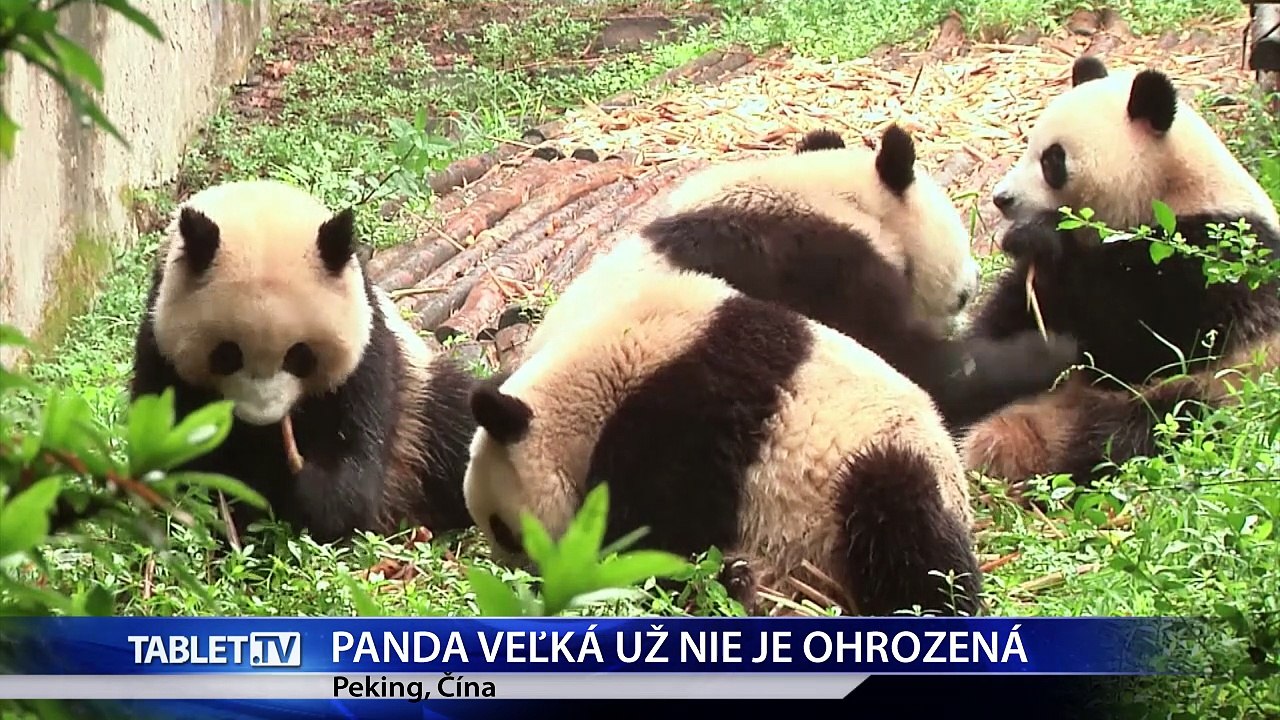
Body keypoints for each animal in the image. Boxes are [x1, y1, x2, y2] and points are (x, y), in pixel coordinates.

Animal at [129, 179, 478, 545]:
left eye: (300, 356)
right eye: (227, 354)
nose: (262, 418)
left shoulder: (370, 351)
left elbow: (356, 448)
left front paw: (311, 493)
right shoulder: (160, 348)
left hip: (420, 402)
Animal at [463, 266, 983, 617]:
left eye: (504, 529)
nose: (523, 577)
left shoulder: (676, 427)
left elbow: (655, 532)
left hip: (874, 475)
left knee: (900, 520)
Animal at [960, 56, 1280, 491]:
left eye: (1052, 160)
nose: (1001, 198)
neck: (1171, 188)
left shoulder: (1214, 261)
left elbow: (1137, 340)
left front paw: (1038, 237)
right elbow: (1010, 320)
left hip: (1226, 386)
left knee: (1151, 426)